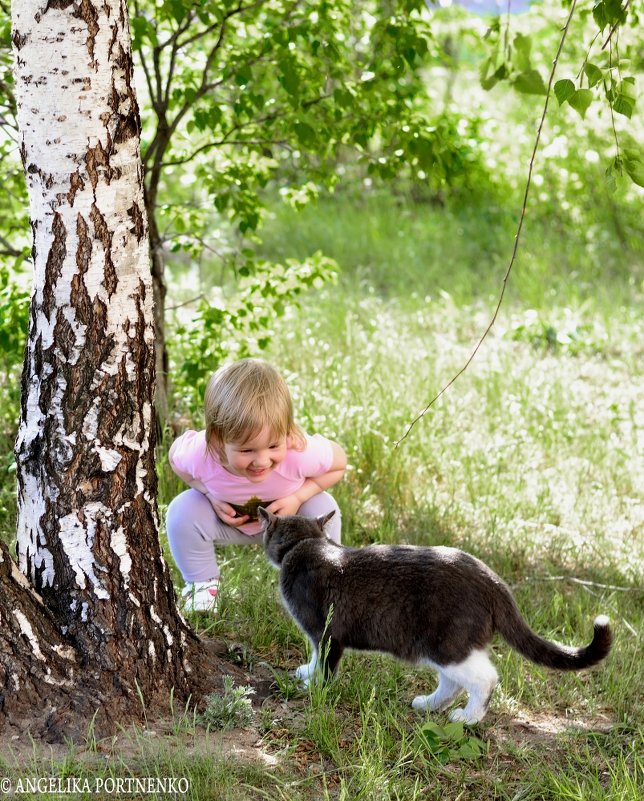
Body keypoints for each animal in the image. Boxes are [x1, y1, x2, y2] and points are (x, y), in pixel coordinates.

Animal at [260, 506, 612, 724]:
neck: (306, 544)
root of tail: (493, 580)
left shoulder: (327, 631)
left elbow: (326, 661)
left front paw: (315, 688)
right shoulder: (320, 635)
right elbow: (315, 654)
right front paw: (307, 672)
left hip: (446, 642)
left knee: (485, 678)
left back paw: (468, 718)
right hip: (438, 644)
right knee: (452, 682)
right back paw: (429, 704)